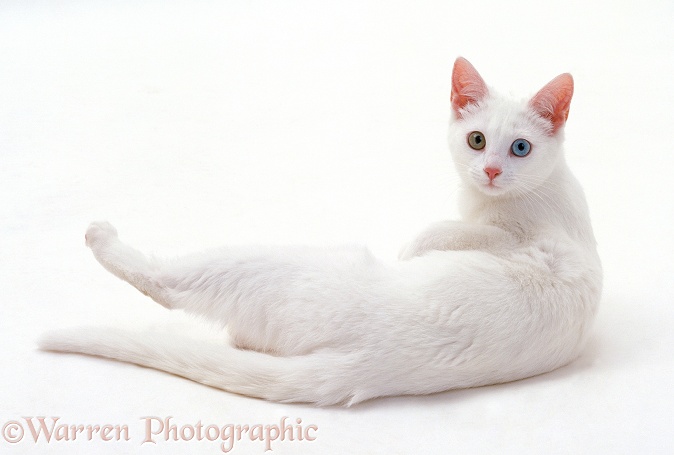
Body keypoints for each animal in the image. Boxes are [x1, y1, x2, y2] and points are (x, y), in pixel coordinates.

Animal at [39, 58, 600, 406]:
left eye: (521, 148)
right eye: (477, 140)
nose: (492, 172)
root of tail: (367, 365)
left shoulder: (524, 239)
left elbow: (445, 232)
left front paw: (412, 246)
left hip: (268, 264)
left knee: (166, 285)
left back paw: (100, 237)